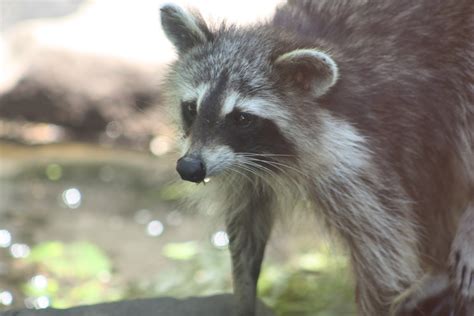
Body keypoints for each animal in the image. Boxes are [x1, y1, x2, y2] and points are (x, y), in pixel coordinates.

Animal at [160, 1, 474, 314]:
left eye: (242, 118)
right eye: (192, 108)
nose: (189, 168)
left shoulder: (357, 160)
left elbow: (384, 255)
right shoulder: (242, 169)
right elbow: (246, 227)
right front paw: (243, 296)